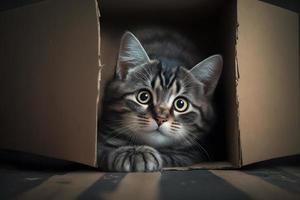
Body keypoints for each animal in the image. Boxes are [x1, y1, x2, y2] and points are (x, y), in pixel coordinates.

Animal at [97, 28, 221, 172]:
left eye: (181, 104)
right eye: (143, 97)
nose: (160, 118)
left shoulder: (193, 152)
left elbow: (173, 155)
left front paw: (141, 153)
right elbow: (103, 148)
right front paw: (130, 152)